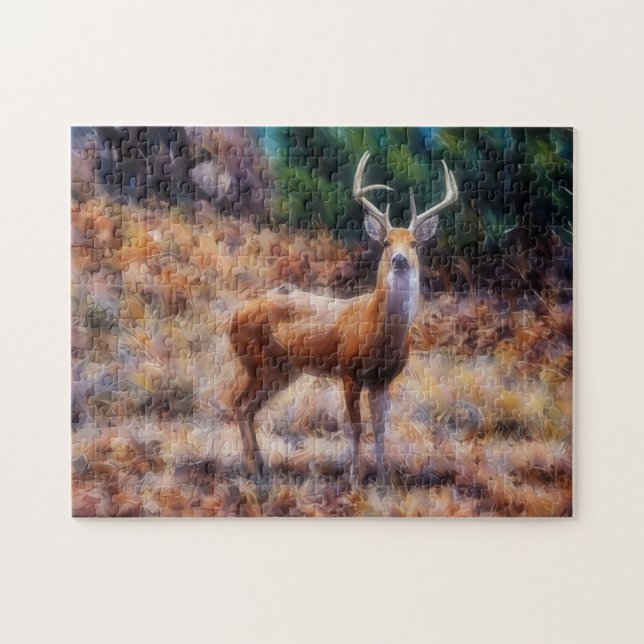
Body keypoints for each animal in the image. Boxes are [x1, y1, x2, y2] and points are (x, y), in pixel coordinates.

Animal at [229, 151, 458, 485]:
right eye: (386, 242)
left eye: (414, 243)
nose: (400, 260)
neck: (380, 330)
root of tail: (231, 320)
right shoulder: (349, 371)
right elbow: (356, 427)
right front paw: (354, 479)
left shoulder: (383, 380)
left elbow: (379, 428)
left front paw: (383, 479)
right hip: (256, 362)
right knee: (236, 402)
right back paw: (254, 469)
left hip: (280, 371)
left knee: (245, 406)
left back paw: (259, 467)